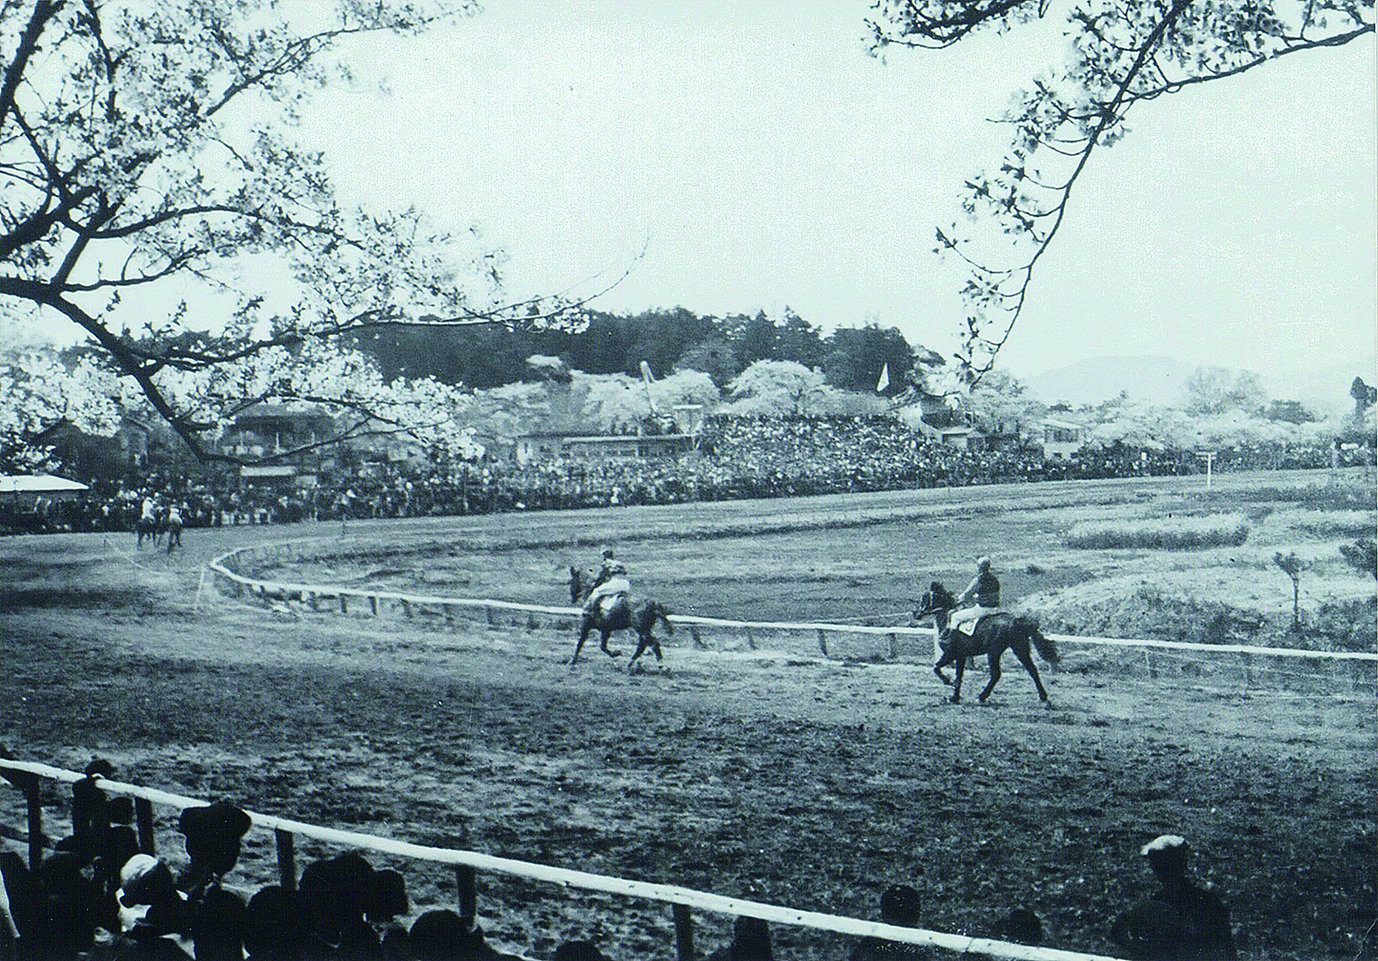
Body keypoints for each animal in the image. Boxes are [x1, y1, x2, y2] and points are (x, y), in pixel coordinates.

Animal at [909, 576, 1058, 705]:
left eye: (925, 598)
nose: (916, 613)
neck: (947, 619)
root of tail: (1017, 621)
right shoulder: (961, 656)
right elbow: (959, 675)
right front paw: (954, 697)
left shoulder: (951, 653)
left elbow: (936, 668)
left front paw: (948, 681)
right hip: (1019, 648)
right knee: (1032, 670)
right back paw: (1043, 697)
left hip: (994, 652)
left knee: (996, 674)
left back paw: (982, 696)